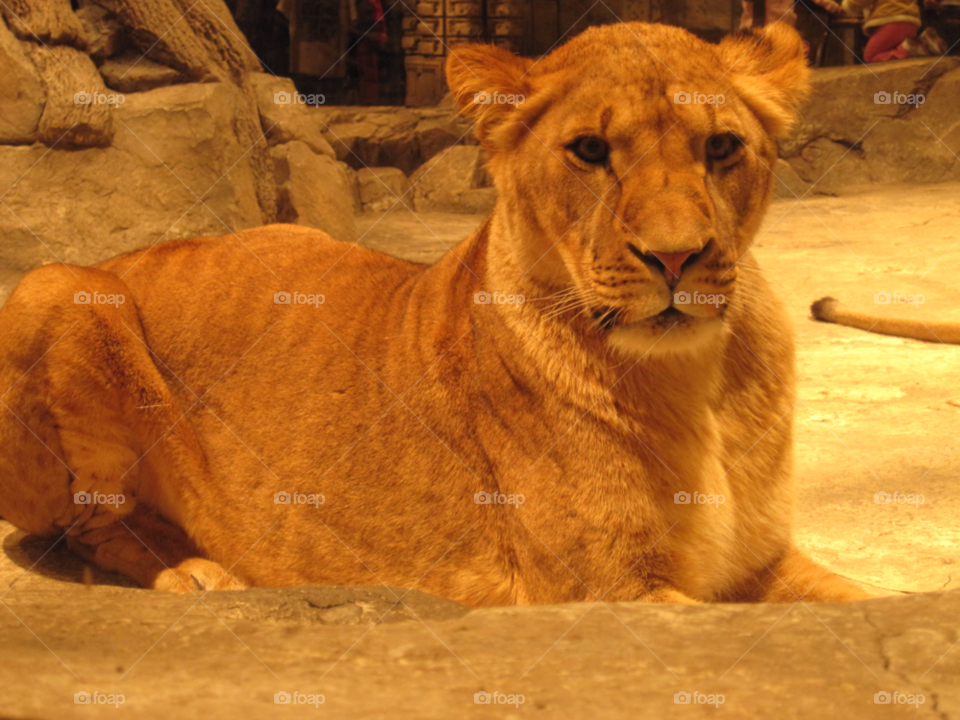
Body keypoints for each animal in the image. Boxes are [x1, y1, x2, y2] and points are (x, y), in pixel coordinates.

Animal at [0, 21, 870, 606]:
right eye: (590, 151)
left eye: (721, 147)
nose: (676, 258)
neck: (699, 379)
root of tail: (124, 257)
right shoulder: (606, 589)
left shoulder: (761, 564)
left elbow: (861, 603)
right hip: (57, 289)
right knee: (78, 526)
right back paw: (193, 569)